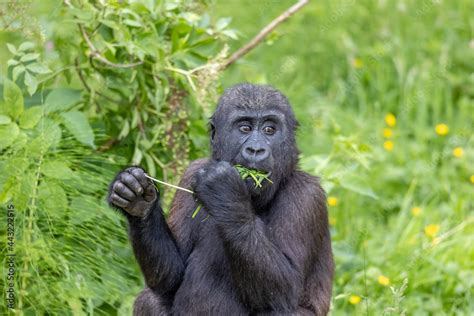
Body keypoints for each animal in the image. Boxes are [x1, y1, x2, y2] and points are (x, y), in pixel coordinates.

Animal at [109, 82, 336, 314]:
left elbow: (287, 286)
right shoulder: (191, 172)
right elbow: (170, 277)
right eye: (244, 128)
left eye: (269, 130)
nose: (256, 149)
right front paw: (139, 203)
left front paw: (224, 192)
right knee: (150, 298)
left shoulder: (306, 195)